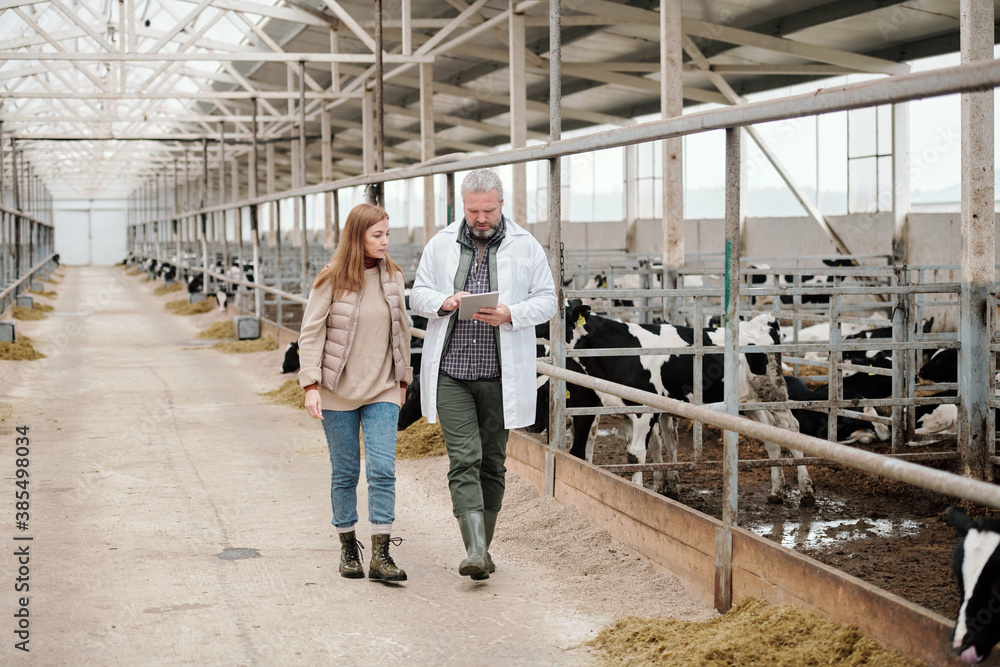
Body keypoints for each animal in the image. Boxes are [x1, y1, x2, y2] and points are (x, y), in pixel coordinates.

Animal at [564, 302, 812, 506]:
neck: (622, 348)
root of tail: (762, 323)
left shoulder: (646, 411)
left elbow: (636, 453)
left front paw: (636, 492)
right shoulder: (626, 410)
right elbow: (642, 450)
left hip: (774, 393)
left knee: (791, 428)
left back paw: (807, 491)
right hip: (749, 402)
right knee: (770, 437)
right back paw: (777, 492)